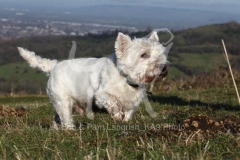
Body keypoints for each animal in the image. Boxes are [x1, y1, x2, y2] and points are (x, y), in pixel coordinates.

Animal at [17, 31, 169, 129]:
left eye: (161, 54)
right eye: (144, 55)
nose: (163, 68)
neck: (125, 79)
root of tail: (54, 65)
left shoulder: (133, 101)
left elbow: (129, 112)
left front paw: (124, 120)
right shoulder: (100, 95)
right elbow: (113, 100)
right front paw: (117, 115)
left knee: (58, 118)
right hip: (63, 99)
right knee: (66, 118)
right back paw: (70, 130)